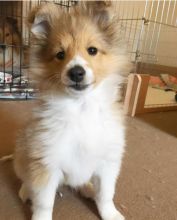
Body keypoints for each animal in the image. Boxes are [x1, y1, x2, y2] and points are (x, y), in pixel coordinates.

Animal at [13, 1, 130, 220]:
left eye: (92, 50)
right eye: (60, 55)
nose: (76, 72)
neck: (81, 108)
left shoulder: (108, 162)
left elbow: (106, 194)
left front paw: (110, 214)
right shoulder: (46, 163)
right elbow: (44, 202)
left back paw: (88, 189)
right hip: (23, 157)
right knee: (26, 180)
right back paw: (26, 191)